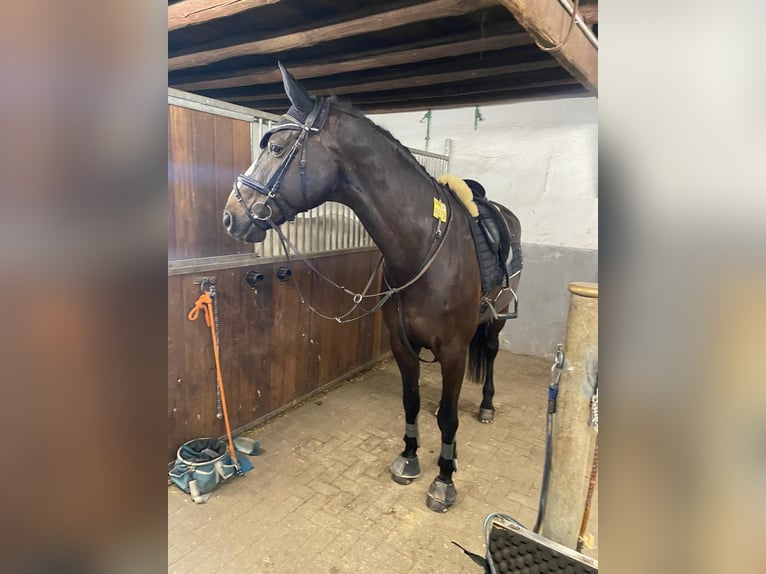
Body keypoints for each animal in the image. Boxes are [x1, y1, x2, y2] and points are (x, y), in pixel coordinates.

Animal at [223, 63, 522, 513]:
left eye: (275, 148)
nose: (231, 216)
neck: (424, 250)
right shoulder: (401, 344)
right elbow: (412, 402)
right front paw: (410, 458)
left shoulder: (453, 350)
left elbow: (449, 418)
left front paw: (444, 479)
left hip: (497, 319)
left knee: (490, 352)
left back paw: (486, 405)